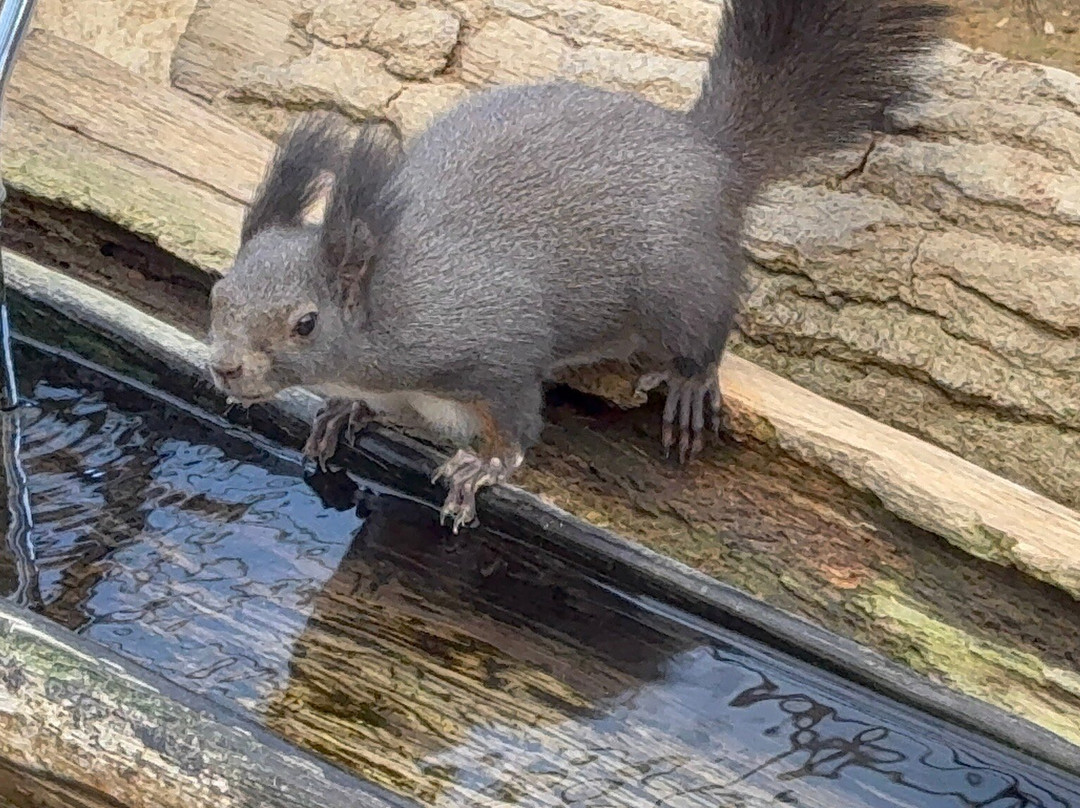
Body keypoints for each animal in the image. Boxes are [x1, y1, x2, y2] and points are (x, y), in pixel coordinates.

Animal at [207, 0, 946, 532]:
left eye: (306, 323)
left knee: (706, 329)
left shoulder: (498, 353)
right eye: (219, 293)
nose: (226, 369)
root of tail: (709, 152)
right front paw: (340, 411)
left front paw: (485, 469)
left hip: (682, 283)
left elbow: (516, 427)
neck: (392, 303)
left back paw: (689, 383)